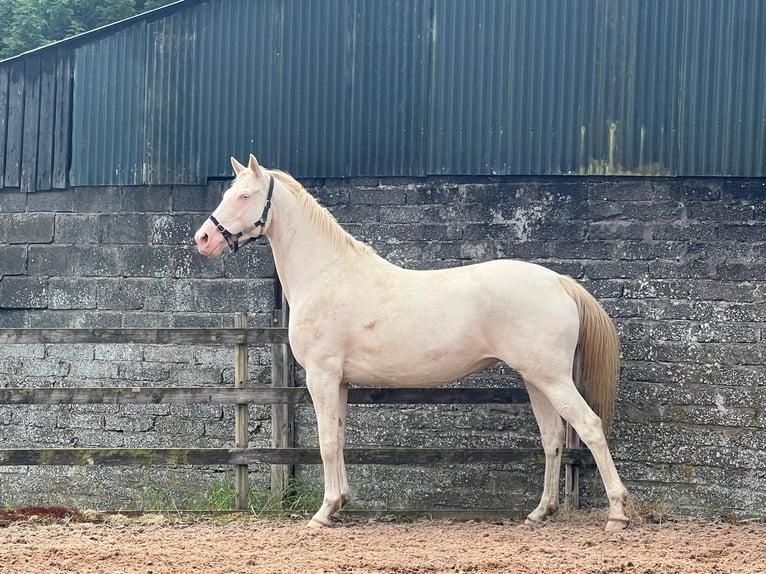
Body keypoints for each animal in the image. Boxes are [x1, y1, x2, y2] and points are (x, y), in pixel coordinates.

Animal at [195, 155, 632, 532]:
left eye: (244, 196)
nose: (203, 238)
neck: (327, 274)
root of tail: (559, 281)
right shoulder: (340, 381)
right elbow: (339, 437)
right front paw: (339, 505)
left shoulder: (322, 376)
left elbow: (326, 441)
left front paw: (323, 512)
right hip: (536, 378)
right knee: (553, 438)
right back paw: (540, 512)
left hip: (552, 379)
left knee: (590, 427)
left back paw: (617, 513)